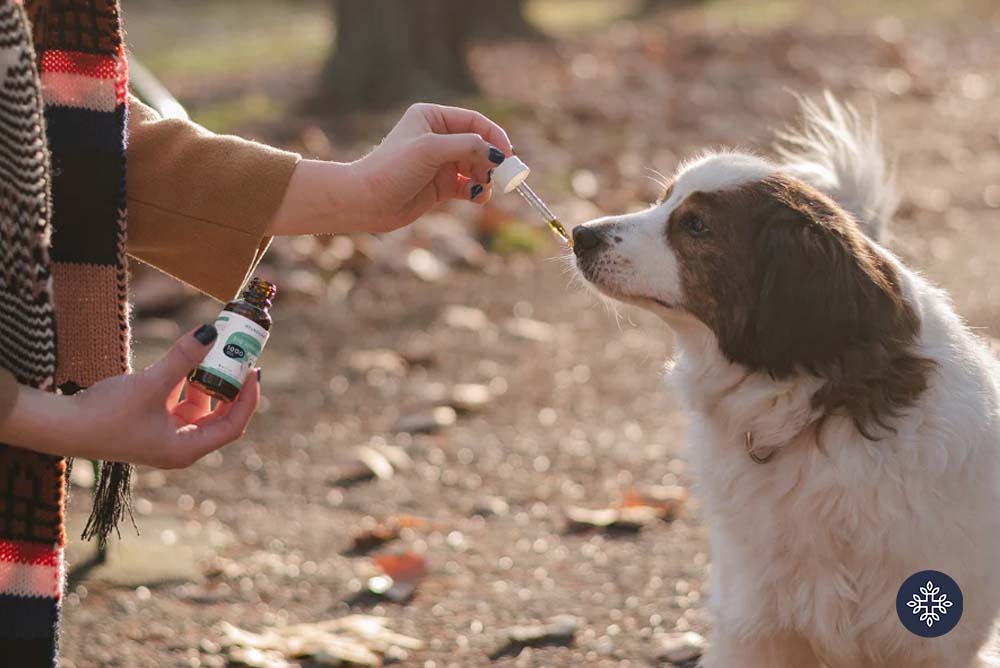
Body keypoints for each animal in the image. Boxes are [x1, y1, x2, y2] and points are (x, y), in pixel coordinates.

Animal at [576, 95, 1000, 668]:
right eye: (663, 202)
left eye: (695, 225)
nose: (580, 234)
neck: (819, 409)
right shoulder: (756, 626)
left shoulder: (935, 638)